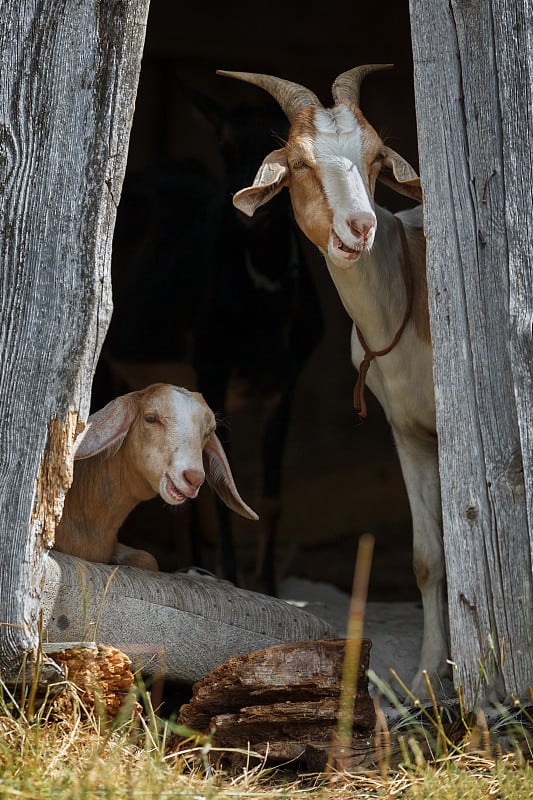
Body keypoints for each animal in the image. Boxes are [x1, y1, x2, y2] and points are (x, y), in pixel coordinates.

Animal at [216, 65, 444, 696]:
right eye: (298, 163)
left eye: (376, 157)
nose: (359, 227)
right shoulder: (408, 430)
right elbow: (427, 558)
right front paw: (427, 683)